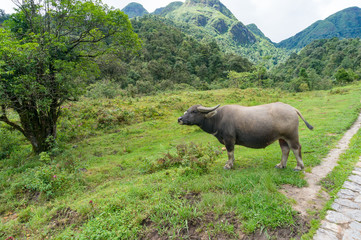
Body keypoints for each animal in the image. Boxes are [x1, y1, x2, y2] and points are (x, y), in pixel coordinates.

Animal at [177, 102, 312, 171]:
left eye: (194, 111)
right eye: (187, 110)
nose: (180, 119)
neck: (218, 118)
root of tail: (293, 109)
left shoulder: (229, 139)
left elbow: (230, 153)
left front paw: (228, 165)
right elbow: (231, 154)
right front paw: (231, 163)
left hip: (291, 135)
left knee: (296, 148)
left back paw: (299, 166)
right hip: (282, 137)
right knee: (285, 149)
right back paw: (281, 165)